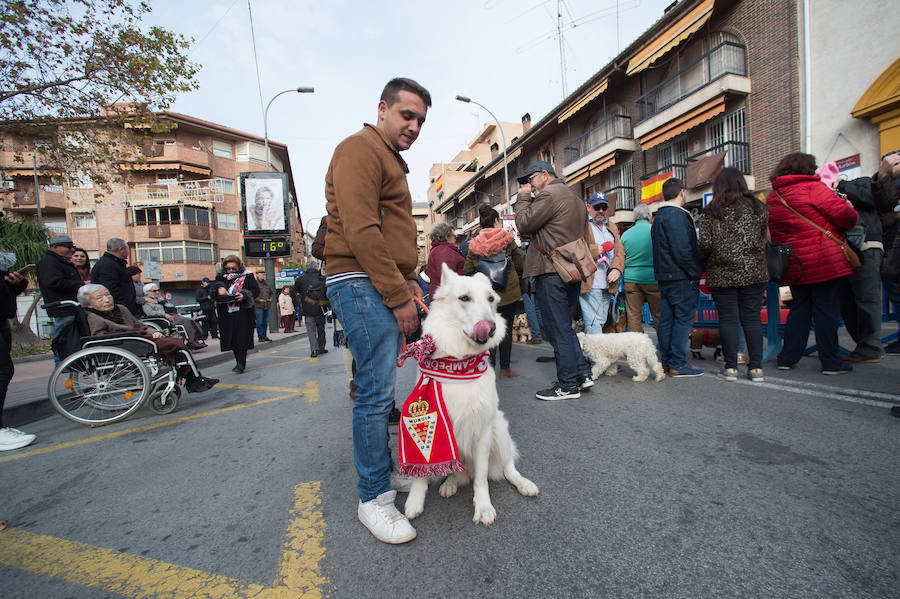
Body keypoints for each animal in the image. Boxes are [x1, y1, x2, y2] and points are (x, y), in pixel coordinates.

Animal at [404, 266, 536, 524]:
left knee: (508, 468)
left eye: (491, 299)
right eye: (464, 298)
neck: (458, 362)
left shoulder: (482, 432)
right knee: (460, 472)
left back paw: (524, 484)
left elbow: (482, 479)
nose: (491, 327)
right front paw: (415, 500)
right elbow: (421, 470)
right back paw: (451, 483)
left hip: (499, 428)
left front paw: (483, 507)